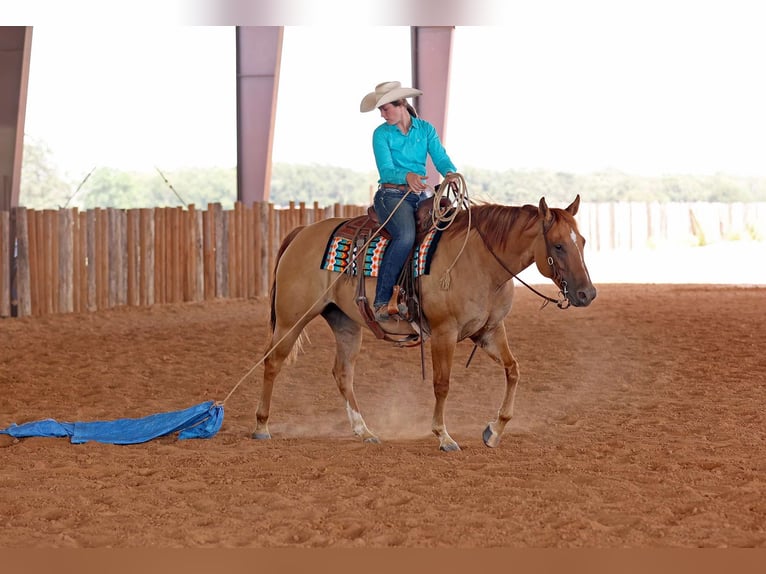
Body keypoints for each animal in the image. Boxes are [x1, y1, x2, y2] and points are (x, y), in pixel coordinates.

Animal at [253, 195, 596, 451]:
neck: (480, 262)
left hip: (345, 323)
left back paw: (365, 431)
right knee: (272, 363)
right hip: (291, 319)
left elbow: (513, 371)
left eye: (582, 241)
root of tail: (301, 233)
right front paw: (443, 436)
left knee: (342, 373)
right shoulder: (445, 332)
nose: (587, 293)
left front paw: (493, 431)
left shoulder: (489, 331)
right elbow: (442, 384)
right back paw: (262, 425)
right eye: (557, 245)